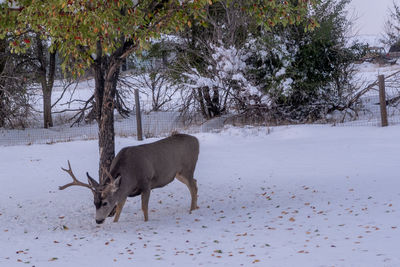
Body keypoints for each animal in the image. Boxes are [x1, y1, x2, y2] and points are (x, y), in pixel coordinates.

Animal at [58, 134, 199, 224]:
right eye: (94, 203)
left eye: (105, 203)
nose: (98, 221)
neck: (131, 174)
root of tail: (196, 140)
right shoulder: (124, 191)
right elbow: (119, 209)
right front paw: (115, 222)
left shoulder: (146, 183)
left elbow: (144, 207)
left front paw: (146, 222)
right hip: (178, 174)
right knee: (195, 183)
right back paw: (196, 207)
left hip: (187, 168)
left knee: (192, 186)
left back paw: (191, 210)